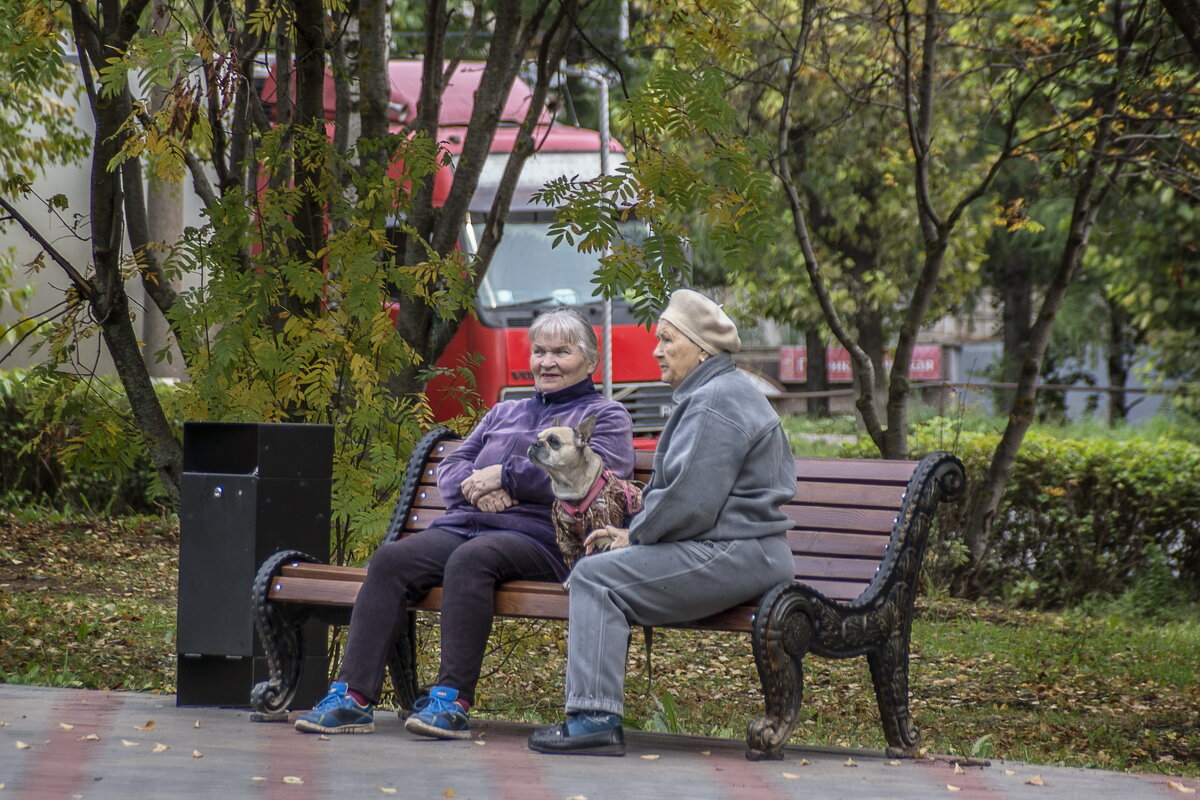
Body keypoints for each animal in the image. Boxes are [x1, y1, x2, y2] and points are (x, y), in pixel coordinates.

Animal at [528, 412, 643, 568]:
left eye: (553, 441)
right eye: (537, 438)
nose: (534, 443)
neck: (569, 486)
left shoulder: (602, 529)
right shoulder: (567, 540)